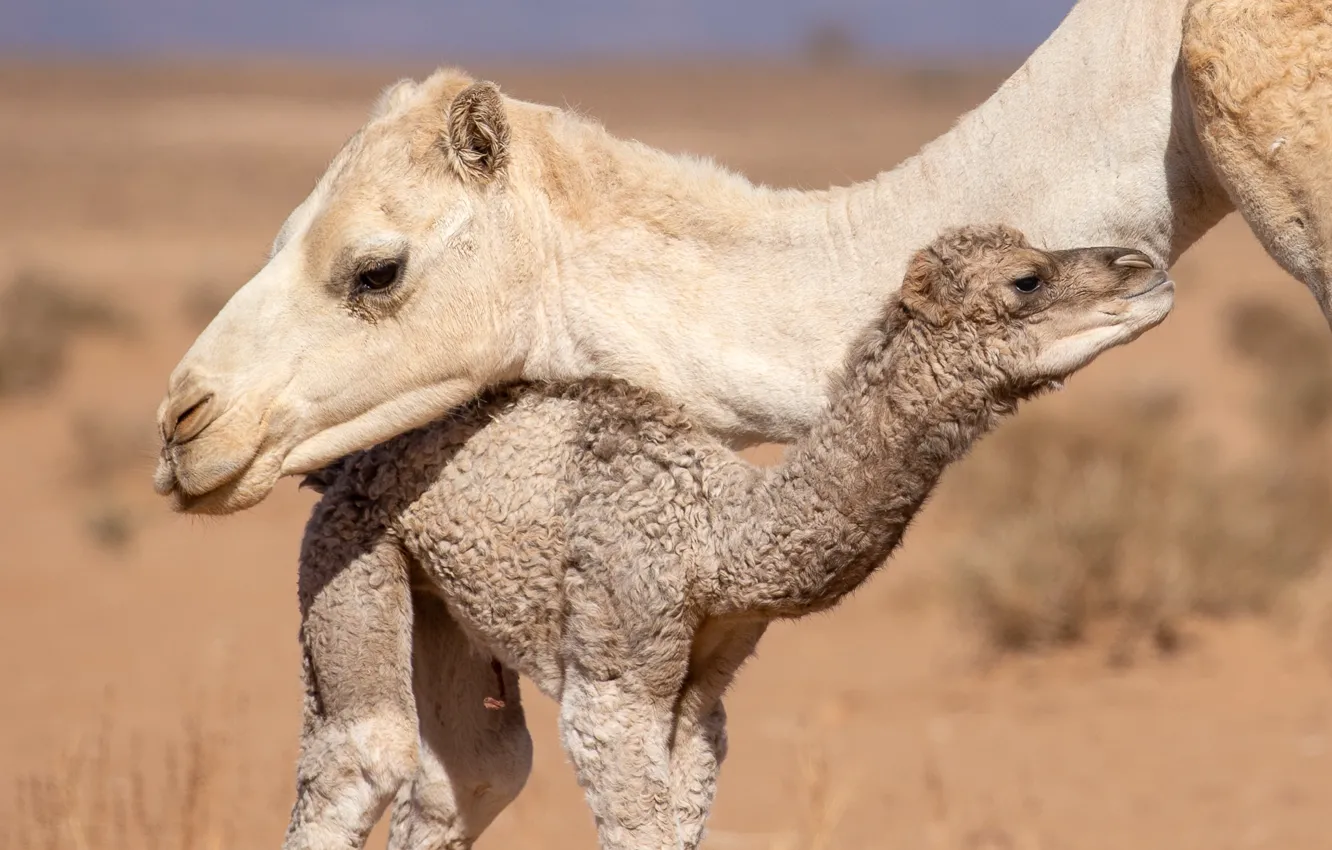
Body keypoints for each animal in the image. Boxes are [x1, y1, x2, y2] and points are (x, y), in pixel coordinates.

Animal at [286, 225, 1175, 850]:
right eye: (1027, 279)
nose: (1146, 271)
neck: (718, 539)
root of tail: (341, 461)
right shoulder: (614, 680)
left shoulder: (702, 700)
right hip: (349, 549)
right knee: (363, 752)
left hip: (438, 601)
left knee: (472, 776)